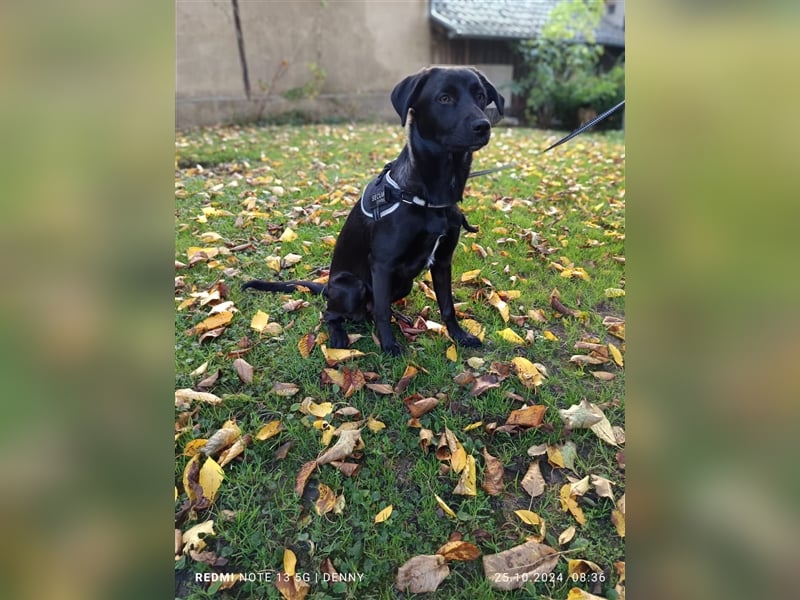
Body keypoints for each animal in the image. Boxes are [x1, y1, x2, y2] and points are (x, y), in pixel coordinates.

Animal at [244, 67, 506, 354]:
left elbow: (447, 306)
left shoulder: (443, 260)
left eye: (480, 96)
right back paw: (339, 336)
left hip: (404, 284)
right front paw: (389, 346)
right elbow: (382, 311)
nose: (483, 126)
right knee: (332, 313)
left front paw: (459, 336)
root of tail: (328, 288)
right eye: (444, 98)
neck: (430, 194)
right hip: (351, 286)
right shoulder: (382, 264)